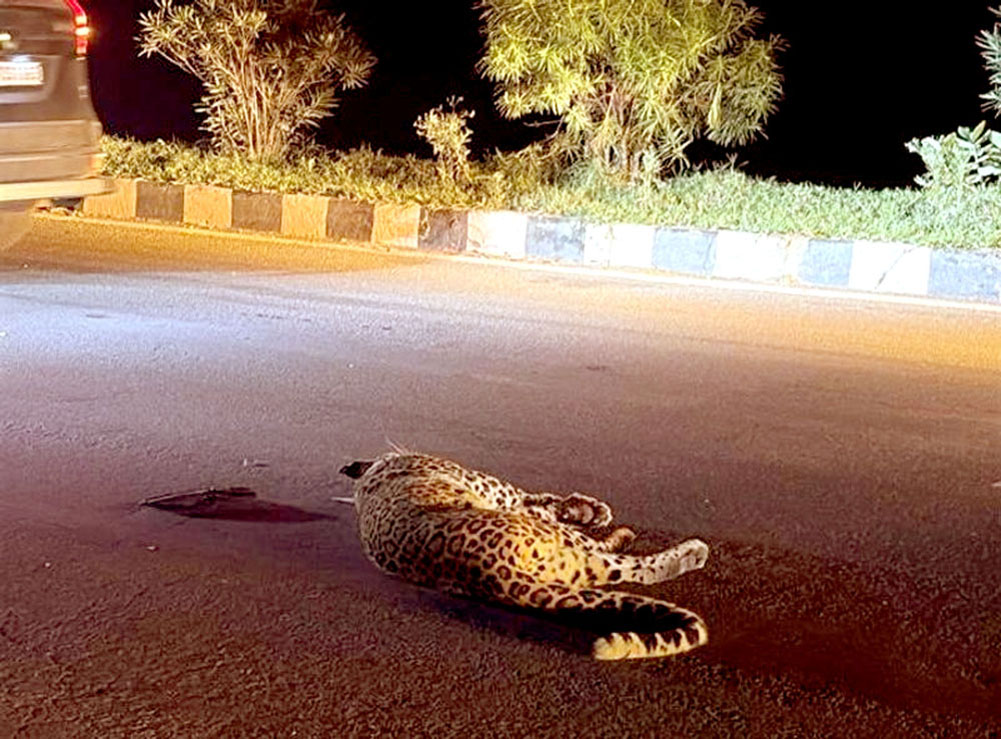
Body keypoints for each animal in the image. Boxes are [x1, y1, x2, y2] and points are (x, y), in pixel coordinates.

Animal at [339, 450, 709, 660]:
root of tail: (487, 573)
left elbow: (539, 502)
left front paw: (585, 509)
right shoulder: (494, 489)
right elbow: (530, 498)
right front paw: (593, 511)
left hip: (566, 566)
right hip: (561, 543)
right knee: (631, 566)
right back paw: (686, 551)